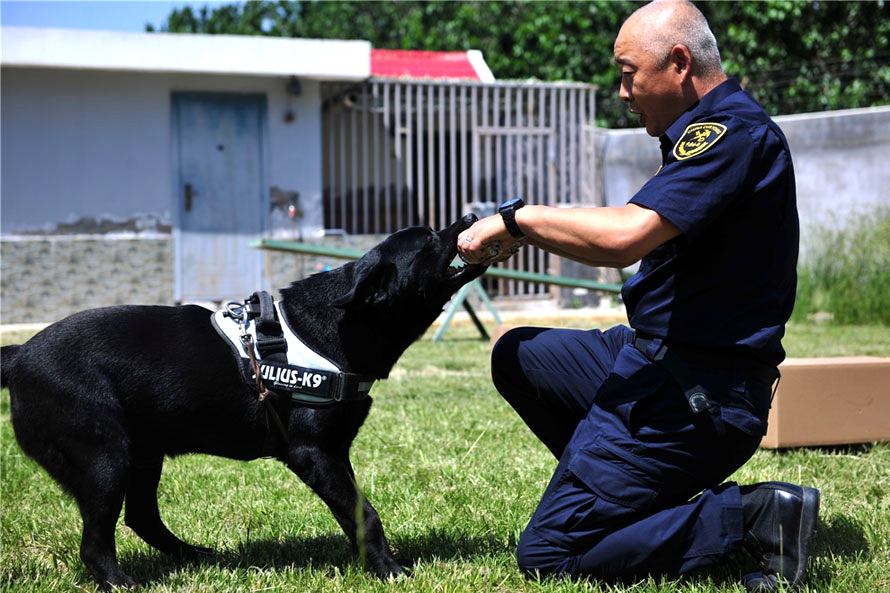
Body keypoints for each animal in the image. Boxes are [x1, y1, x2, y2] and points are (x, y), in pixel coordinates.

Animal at [0, 215, 486, 588]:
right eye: (428, 238)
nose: (468, 216)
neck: (338, 326)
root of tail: (18, 354)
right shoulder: (314, 453)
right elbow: (364, 514)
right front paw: (390, 571)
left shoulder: (335, 454)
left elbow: (354, 512)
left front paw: (374, 561)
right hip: (105, 457)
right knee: (95, 542)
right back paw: (122, 583)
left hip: (142, 453)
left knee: (142, 517)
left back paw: (194, 556)